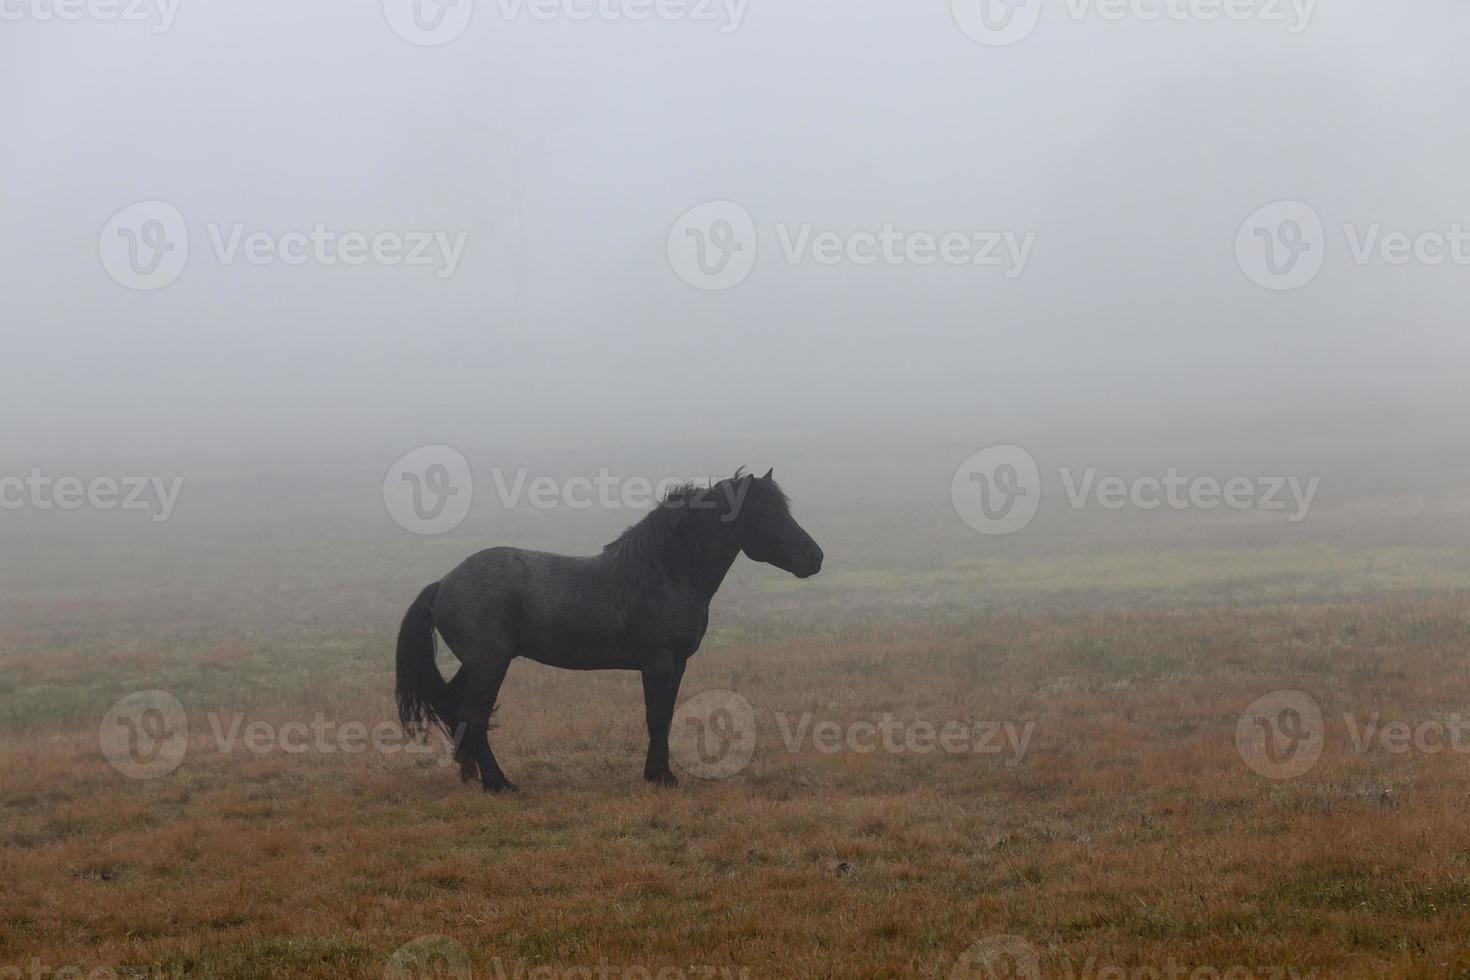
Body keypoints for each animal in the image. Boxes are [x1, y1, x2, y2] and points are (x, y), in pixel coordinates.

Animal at [396, 467, 823, 787]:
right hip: (490, 665)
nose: (815, 557)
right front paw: (662, 777)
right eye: (766, 514)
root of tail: (443, 583)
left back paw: (470, 773)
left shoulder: (678, 663)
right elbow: (656, 715)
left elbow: (666, 714)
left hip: (477, 665)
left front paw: (656, 772)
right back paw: (499, 783)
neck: (664, 572)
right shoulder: (658, 662)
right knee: (475, 715)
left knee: (455, 708)